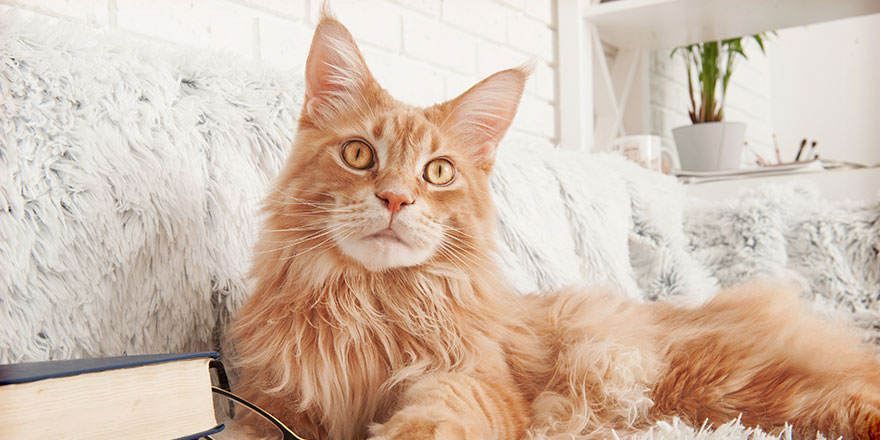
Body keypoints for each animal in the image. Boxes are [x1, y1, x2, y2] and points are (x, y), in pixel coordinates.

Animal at [227, 7, 880, 440]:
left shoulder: (475, 380)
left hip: (733, 388)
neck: (366, 304)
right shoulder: (269, 402)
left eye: (437, 172)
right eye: (359, 154)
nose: (394, 200)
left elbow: (434, 421)